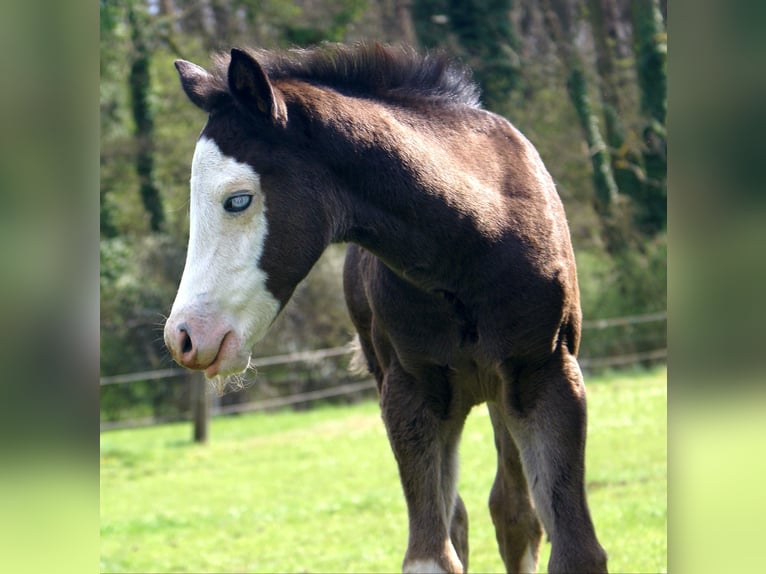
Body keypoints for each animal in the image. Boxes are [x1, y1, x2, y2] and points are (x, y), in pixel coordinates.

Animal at [164, 42, 607, 574]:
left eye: (238, 200)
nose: (184, 336)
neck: (473, 242)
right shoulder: (409, 393)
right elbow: (431, 554)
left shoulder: (548, 375)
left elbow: (576, 549)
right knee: (463, 515)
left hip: (503, 395)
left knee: (514, 512)